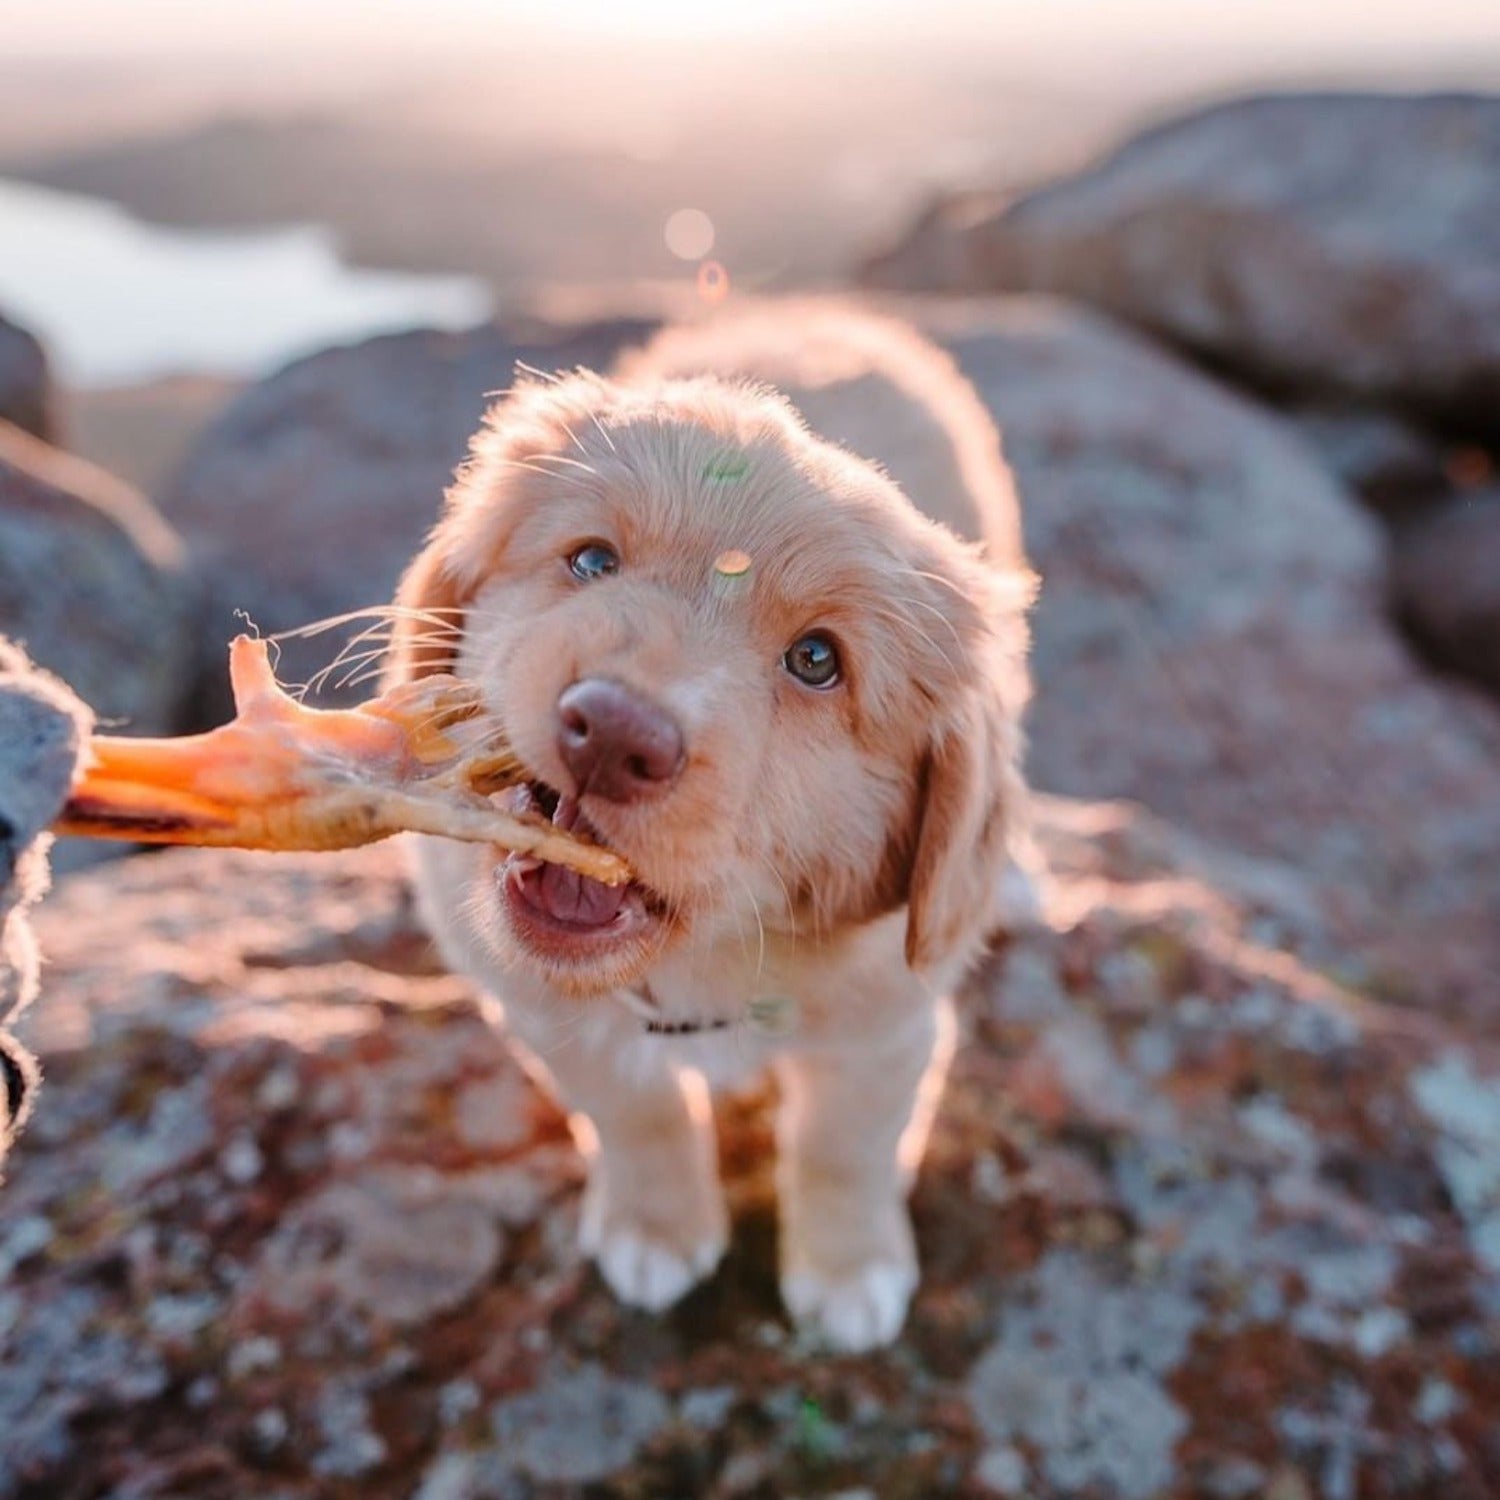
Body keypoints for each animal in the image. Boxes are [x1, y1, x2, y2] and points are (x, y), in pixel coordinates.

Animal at [387, 301, 1032, 1350]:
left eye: (818, 660)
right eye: (592, 561)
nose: (613, 732)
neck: (707, 967)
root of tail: (823, 311)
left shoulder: (888, 1027)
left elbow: (843, 1146)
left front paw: (848, 1271)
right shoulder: (541, 1009)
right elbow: (634, 1112)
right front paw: (657, 1226)